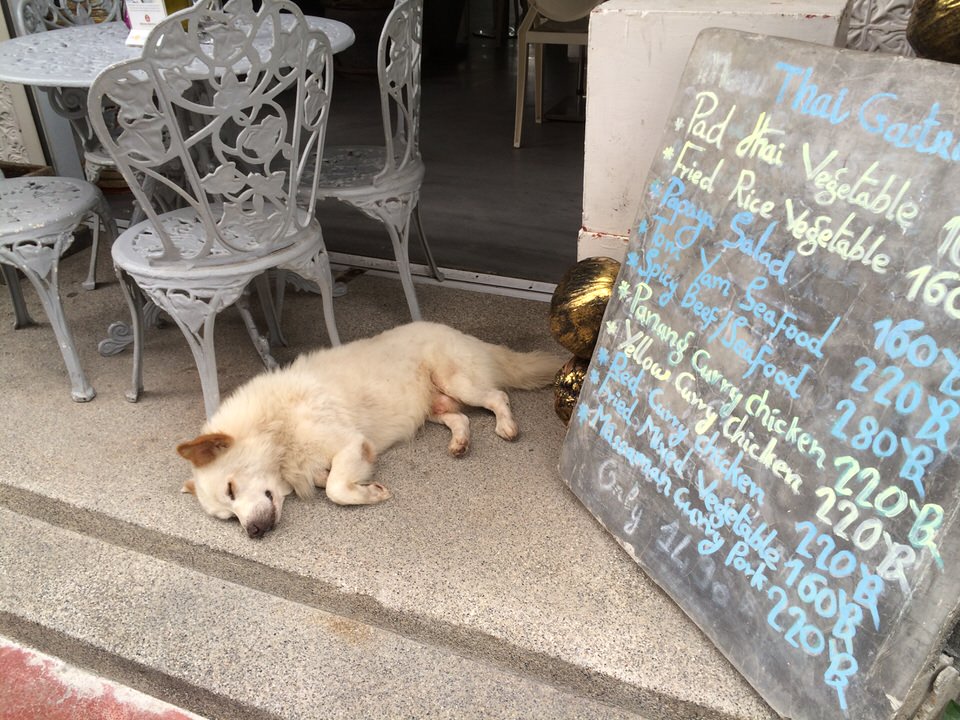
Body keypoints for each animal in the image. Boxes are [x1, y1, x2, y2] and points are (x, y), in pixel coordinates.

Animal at [178, 324, 564, 536]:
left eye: (230, 489)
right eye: (229, 517)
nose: (254, 533)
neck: (276, 427)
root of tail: (465, 335)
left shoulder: (352, 443)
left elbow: (335, 489)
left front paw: (370, 493)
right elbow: (324, 479)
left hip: (457, 382)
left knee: (497, 396)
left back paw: (506, 425)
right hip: (433, 408)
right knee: (462, 419)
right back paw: (460, 443)